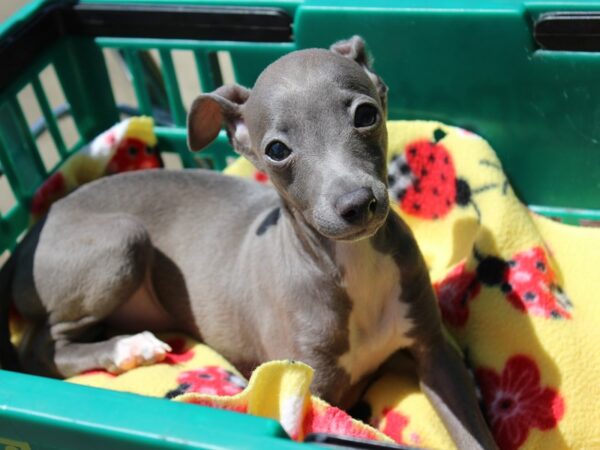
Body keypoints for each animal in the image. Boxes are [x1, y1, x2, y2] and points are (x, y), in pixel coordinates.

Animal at [0, 37, 496, 448]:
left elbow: (472, 432)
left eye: (366, 114)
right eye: (277, 150)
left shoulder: (435, 353)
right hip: (123, 240)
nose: (357, 204)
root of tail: (28, 238)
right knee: (40, 347)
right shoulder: (312, 393)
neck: (352, 263)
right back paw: (128, 348)